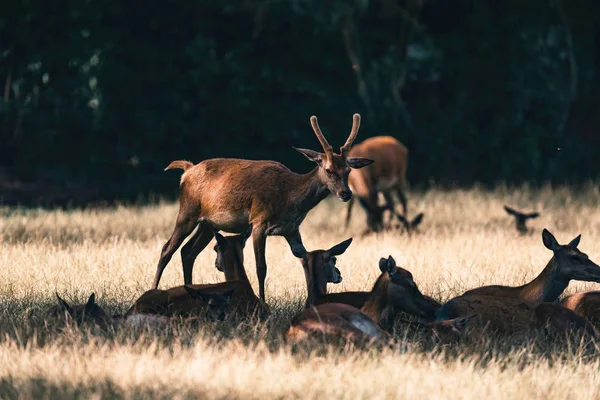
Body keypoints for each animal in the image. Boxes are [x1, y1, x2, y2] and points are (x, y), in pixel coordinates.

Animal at [154, 114, 376, 302]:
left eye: (348, 170)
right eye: (329, 170)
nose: (346, 193)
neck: (289, 198)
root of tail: (187, 170)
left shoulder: (292, 229)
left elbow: (304, 258)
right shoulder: (259, 221)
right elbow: (261, 267)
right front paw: (263, 301)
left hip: (208, 224)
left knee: (188, 252)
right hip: (187, 212)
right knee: (167, 249)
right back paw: (154, 289)